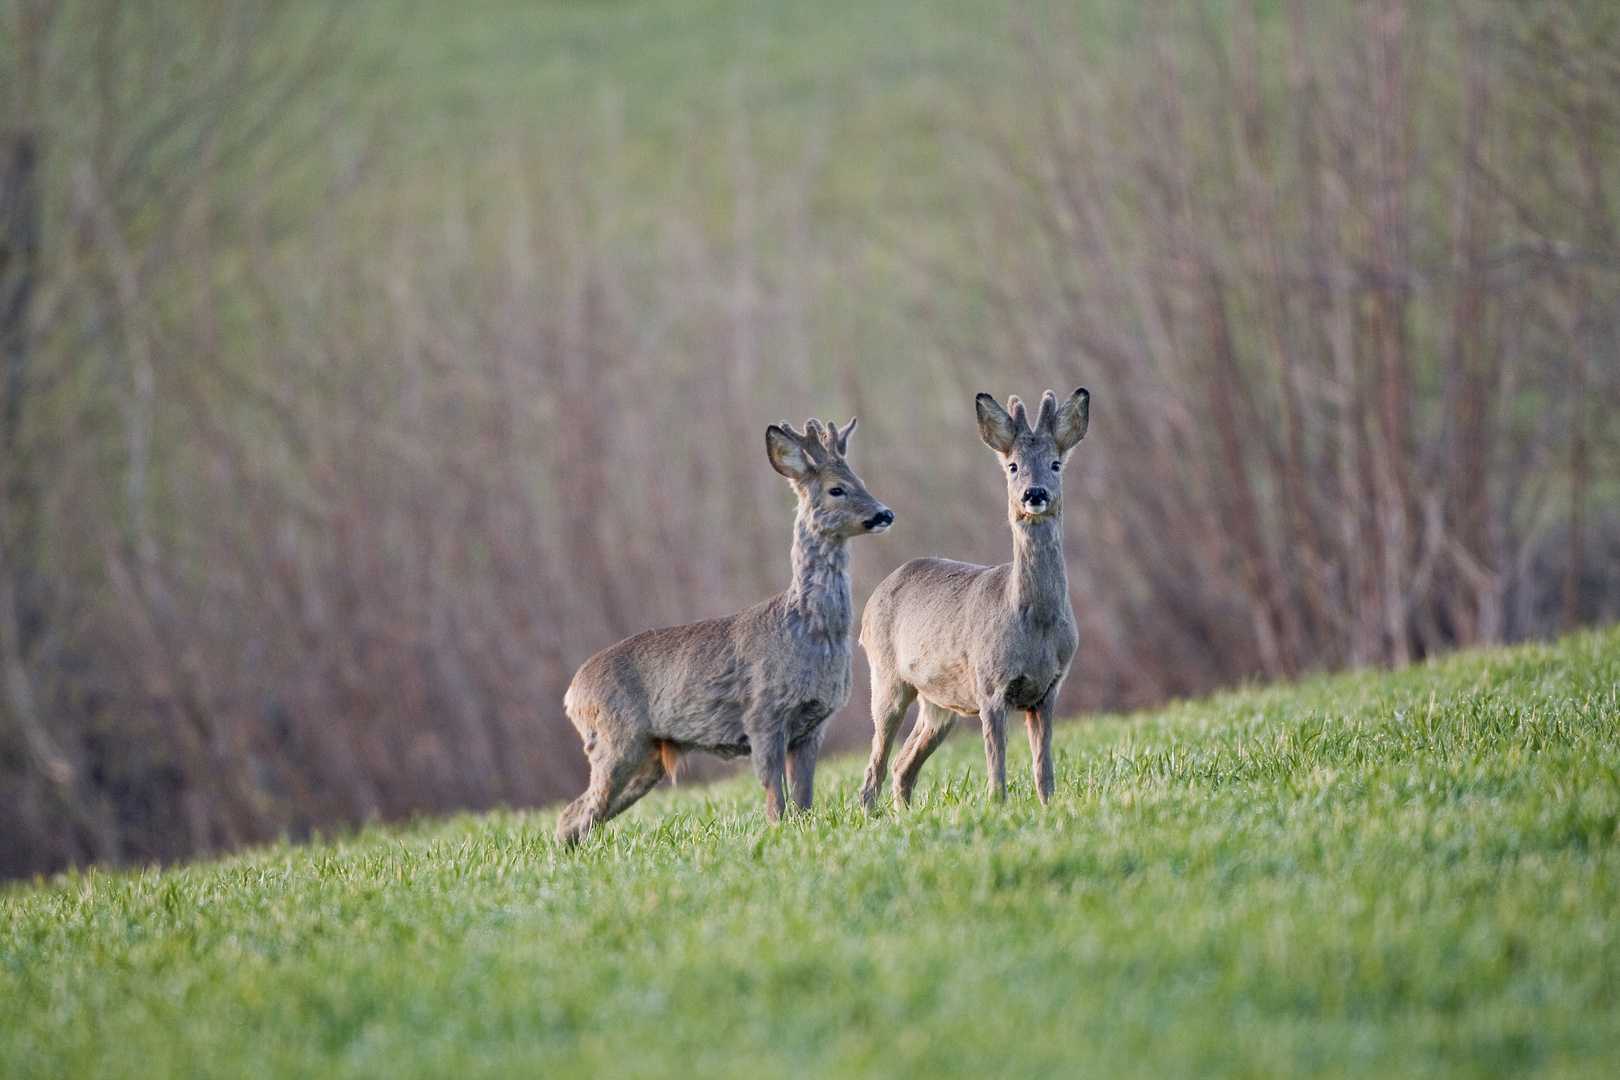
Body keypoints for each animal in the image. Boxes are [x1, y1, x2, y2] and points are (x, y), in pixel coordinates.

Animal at [554, 414, 887, 841]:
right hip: (615, 741)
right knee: (580, 812)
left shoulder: (813, 726)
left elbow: (804, 799)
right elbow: (774, 797)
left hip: (648, 756)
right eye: (836, 489)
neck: (808, 631)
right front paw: (777, 831)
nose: (884, 514)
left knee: (574, 815)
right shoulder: (763, 715)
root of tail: (572, 695)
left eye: (861, 481)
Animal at [861, 386, 1088, 809]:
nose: (1034, 493)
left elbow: (1044, 768)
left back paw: (904, 816)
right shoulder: (990, 686)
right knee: (876, 764)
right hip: (886, 677)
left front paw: (1049, 808)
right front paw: (998, 809)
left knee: (903, 765)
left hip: (938, 702)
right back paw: (872, 814)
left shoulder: (1048, 689)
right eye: (1013, 466)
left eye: (1055, 463)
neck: (1034, 622)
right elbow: (996, 768)